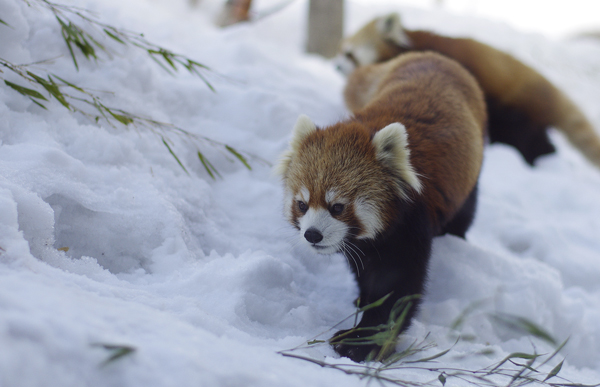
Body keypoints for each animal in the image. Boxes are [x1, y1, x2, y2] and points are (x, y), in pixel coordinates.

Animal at [276, 52, 488, 364]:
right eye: (302, 205)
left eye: (337, 207)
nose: (312, 235)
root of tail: (432, 55)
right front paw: (362, 305)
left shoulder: (410, 225)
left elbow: (395, 288)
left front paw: (361, 341)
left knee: (466, 211)